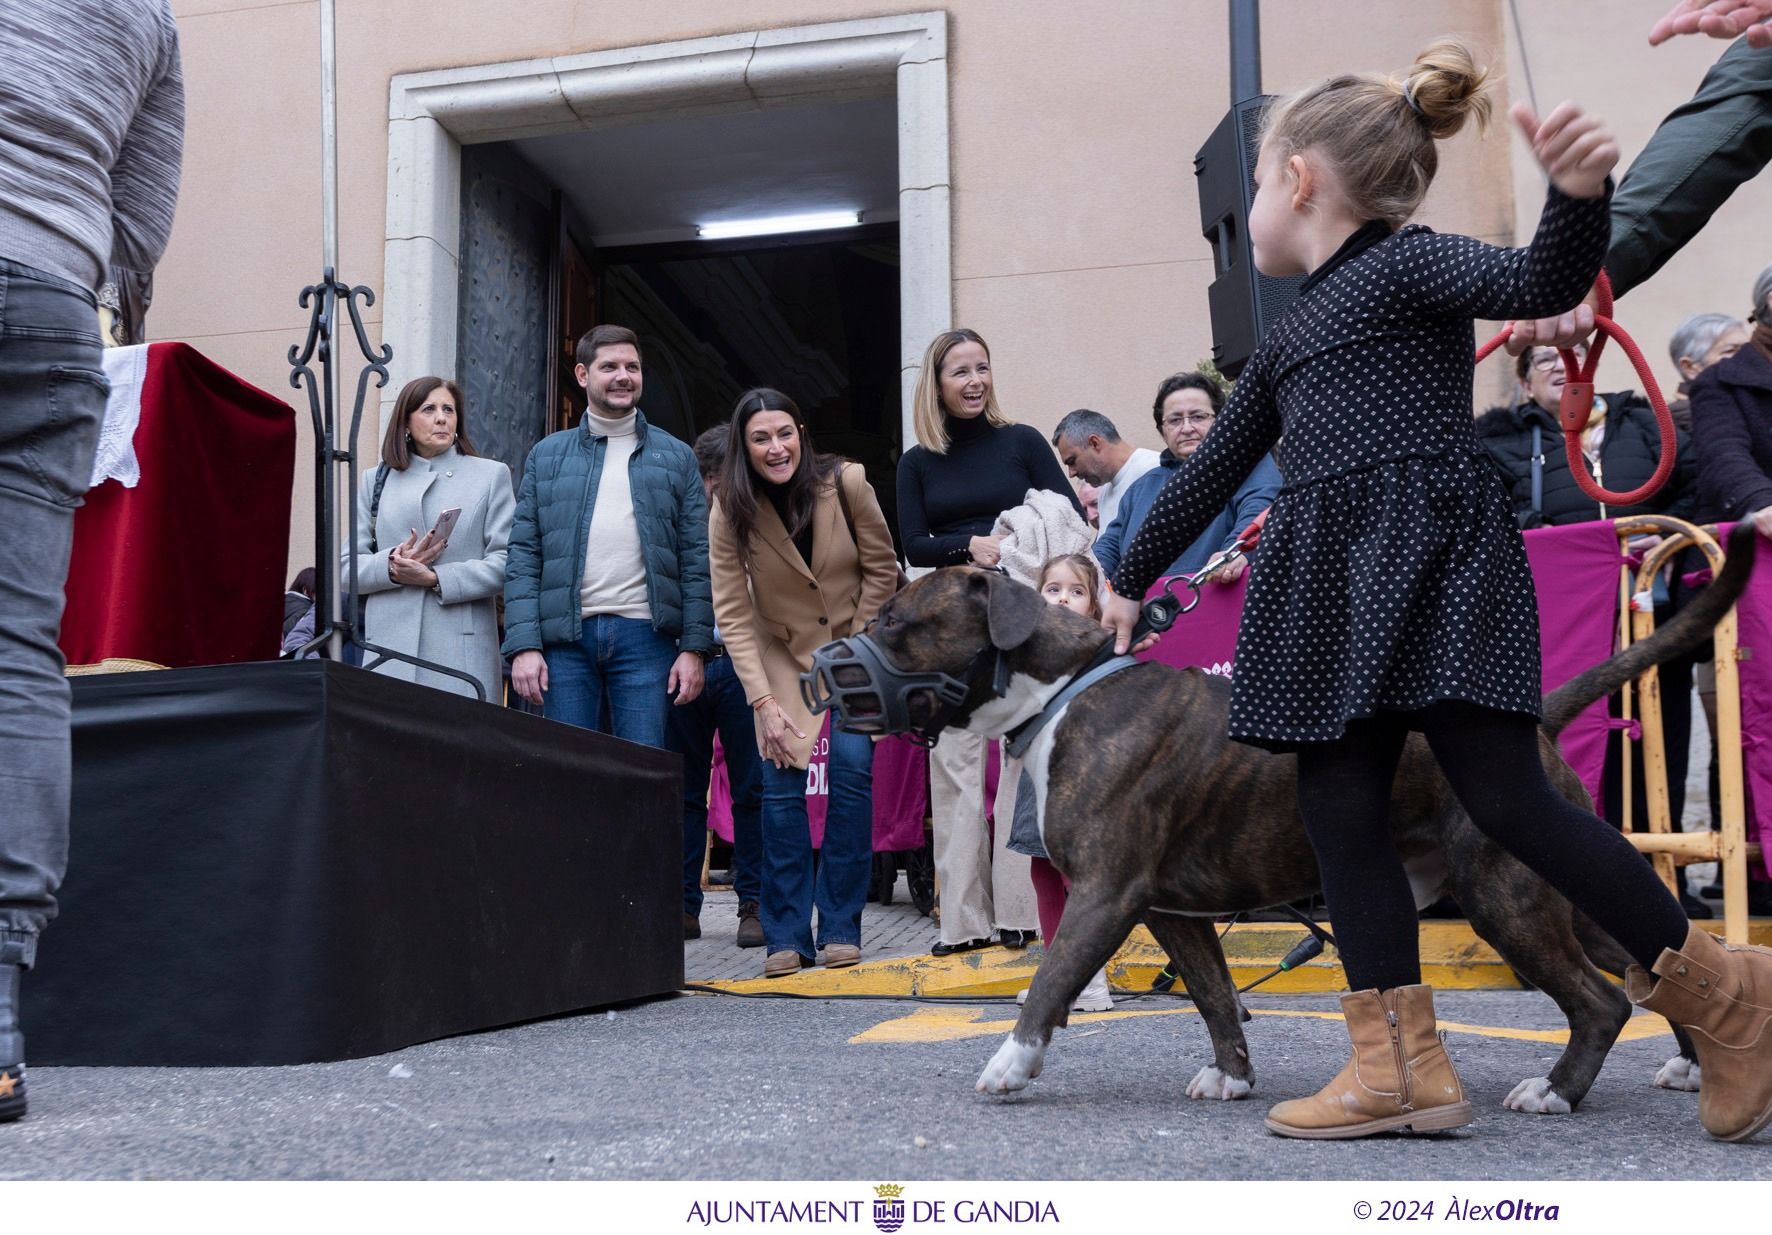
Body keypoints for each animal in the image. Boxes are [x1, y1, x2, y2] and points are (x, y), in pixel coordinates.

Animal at [815, 524, 1757, 1112]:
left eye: (897, 622)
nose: (823, 664)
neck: (1062, 688)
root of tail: (1535, 722)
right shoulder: (1169, 907)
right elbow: (1213, 995)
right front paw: (1232, 1077)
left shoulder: (1105, 894)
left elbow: (1050, 980)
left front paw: (1010, 1063)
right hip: (1561, 893)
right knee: (1654, 956)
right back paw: (1694, 1061)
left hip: (1508, 896)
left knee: (1603, 999)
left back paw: (1557, 1090)